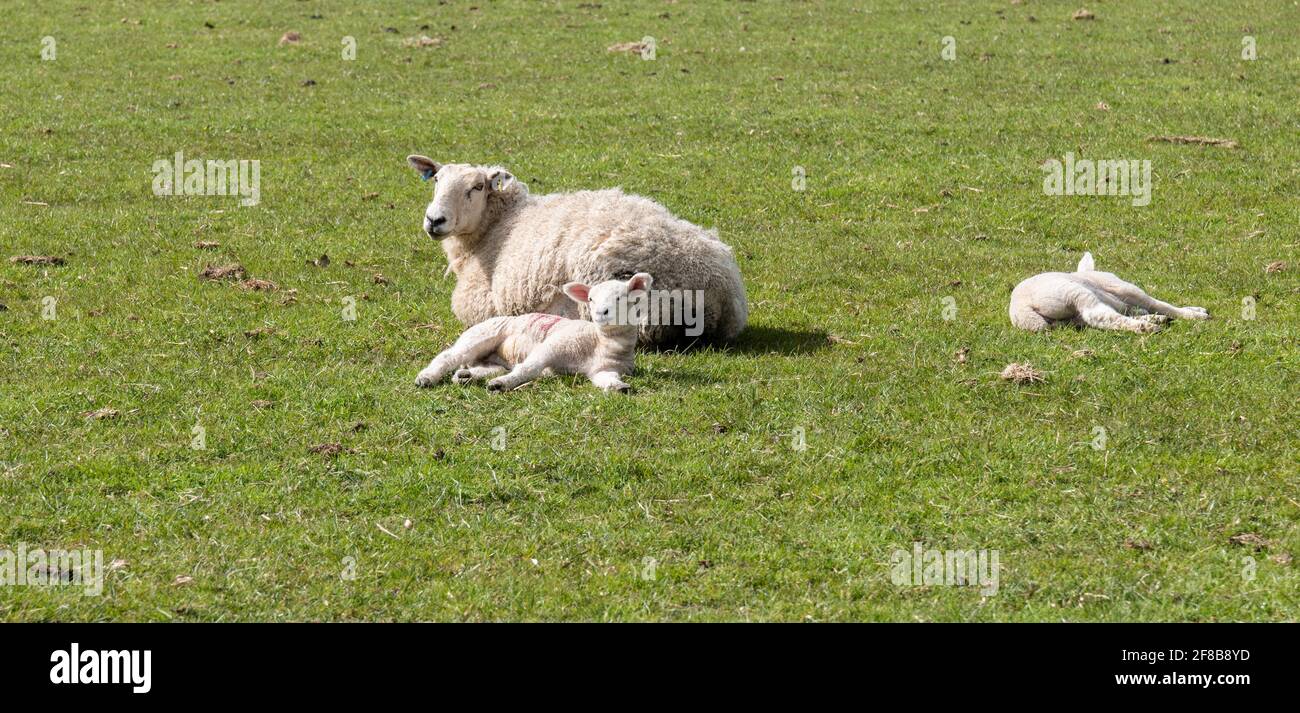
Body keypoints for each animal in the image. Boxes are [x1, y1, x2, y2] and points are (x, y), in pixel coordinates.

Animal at [405, 156, 754, 346]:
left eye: (477, 187)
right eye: (436, 180)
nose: (434, 220)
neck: (499, 221)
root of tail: (712, 290)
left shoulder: (480, 300)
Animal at [413, 274, 655, 395]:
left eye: (621, 297)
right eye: (590, 299)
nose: (600, 313)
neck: (601, 344)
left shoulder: (604, 369)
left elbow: (606, 380)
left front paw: (619, 387)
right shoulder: (555, 344)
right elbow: (529, 368)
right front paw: (501, 385)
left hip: (491, 358)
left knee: (485, 367)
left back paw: (465, 376)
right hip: (482, 335)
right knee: (449, 356)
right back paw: (426, 377)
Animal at [1008, 252, 1211, 333]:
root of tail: (1022, 309)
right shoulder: (1124, 289)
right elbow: (1158, 303)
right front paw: (1196, 314)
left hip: (1067, 320)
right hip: (1073, 294)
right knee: (1100, 316)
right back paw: (1146, 328)